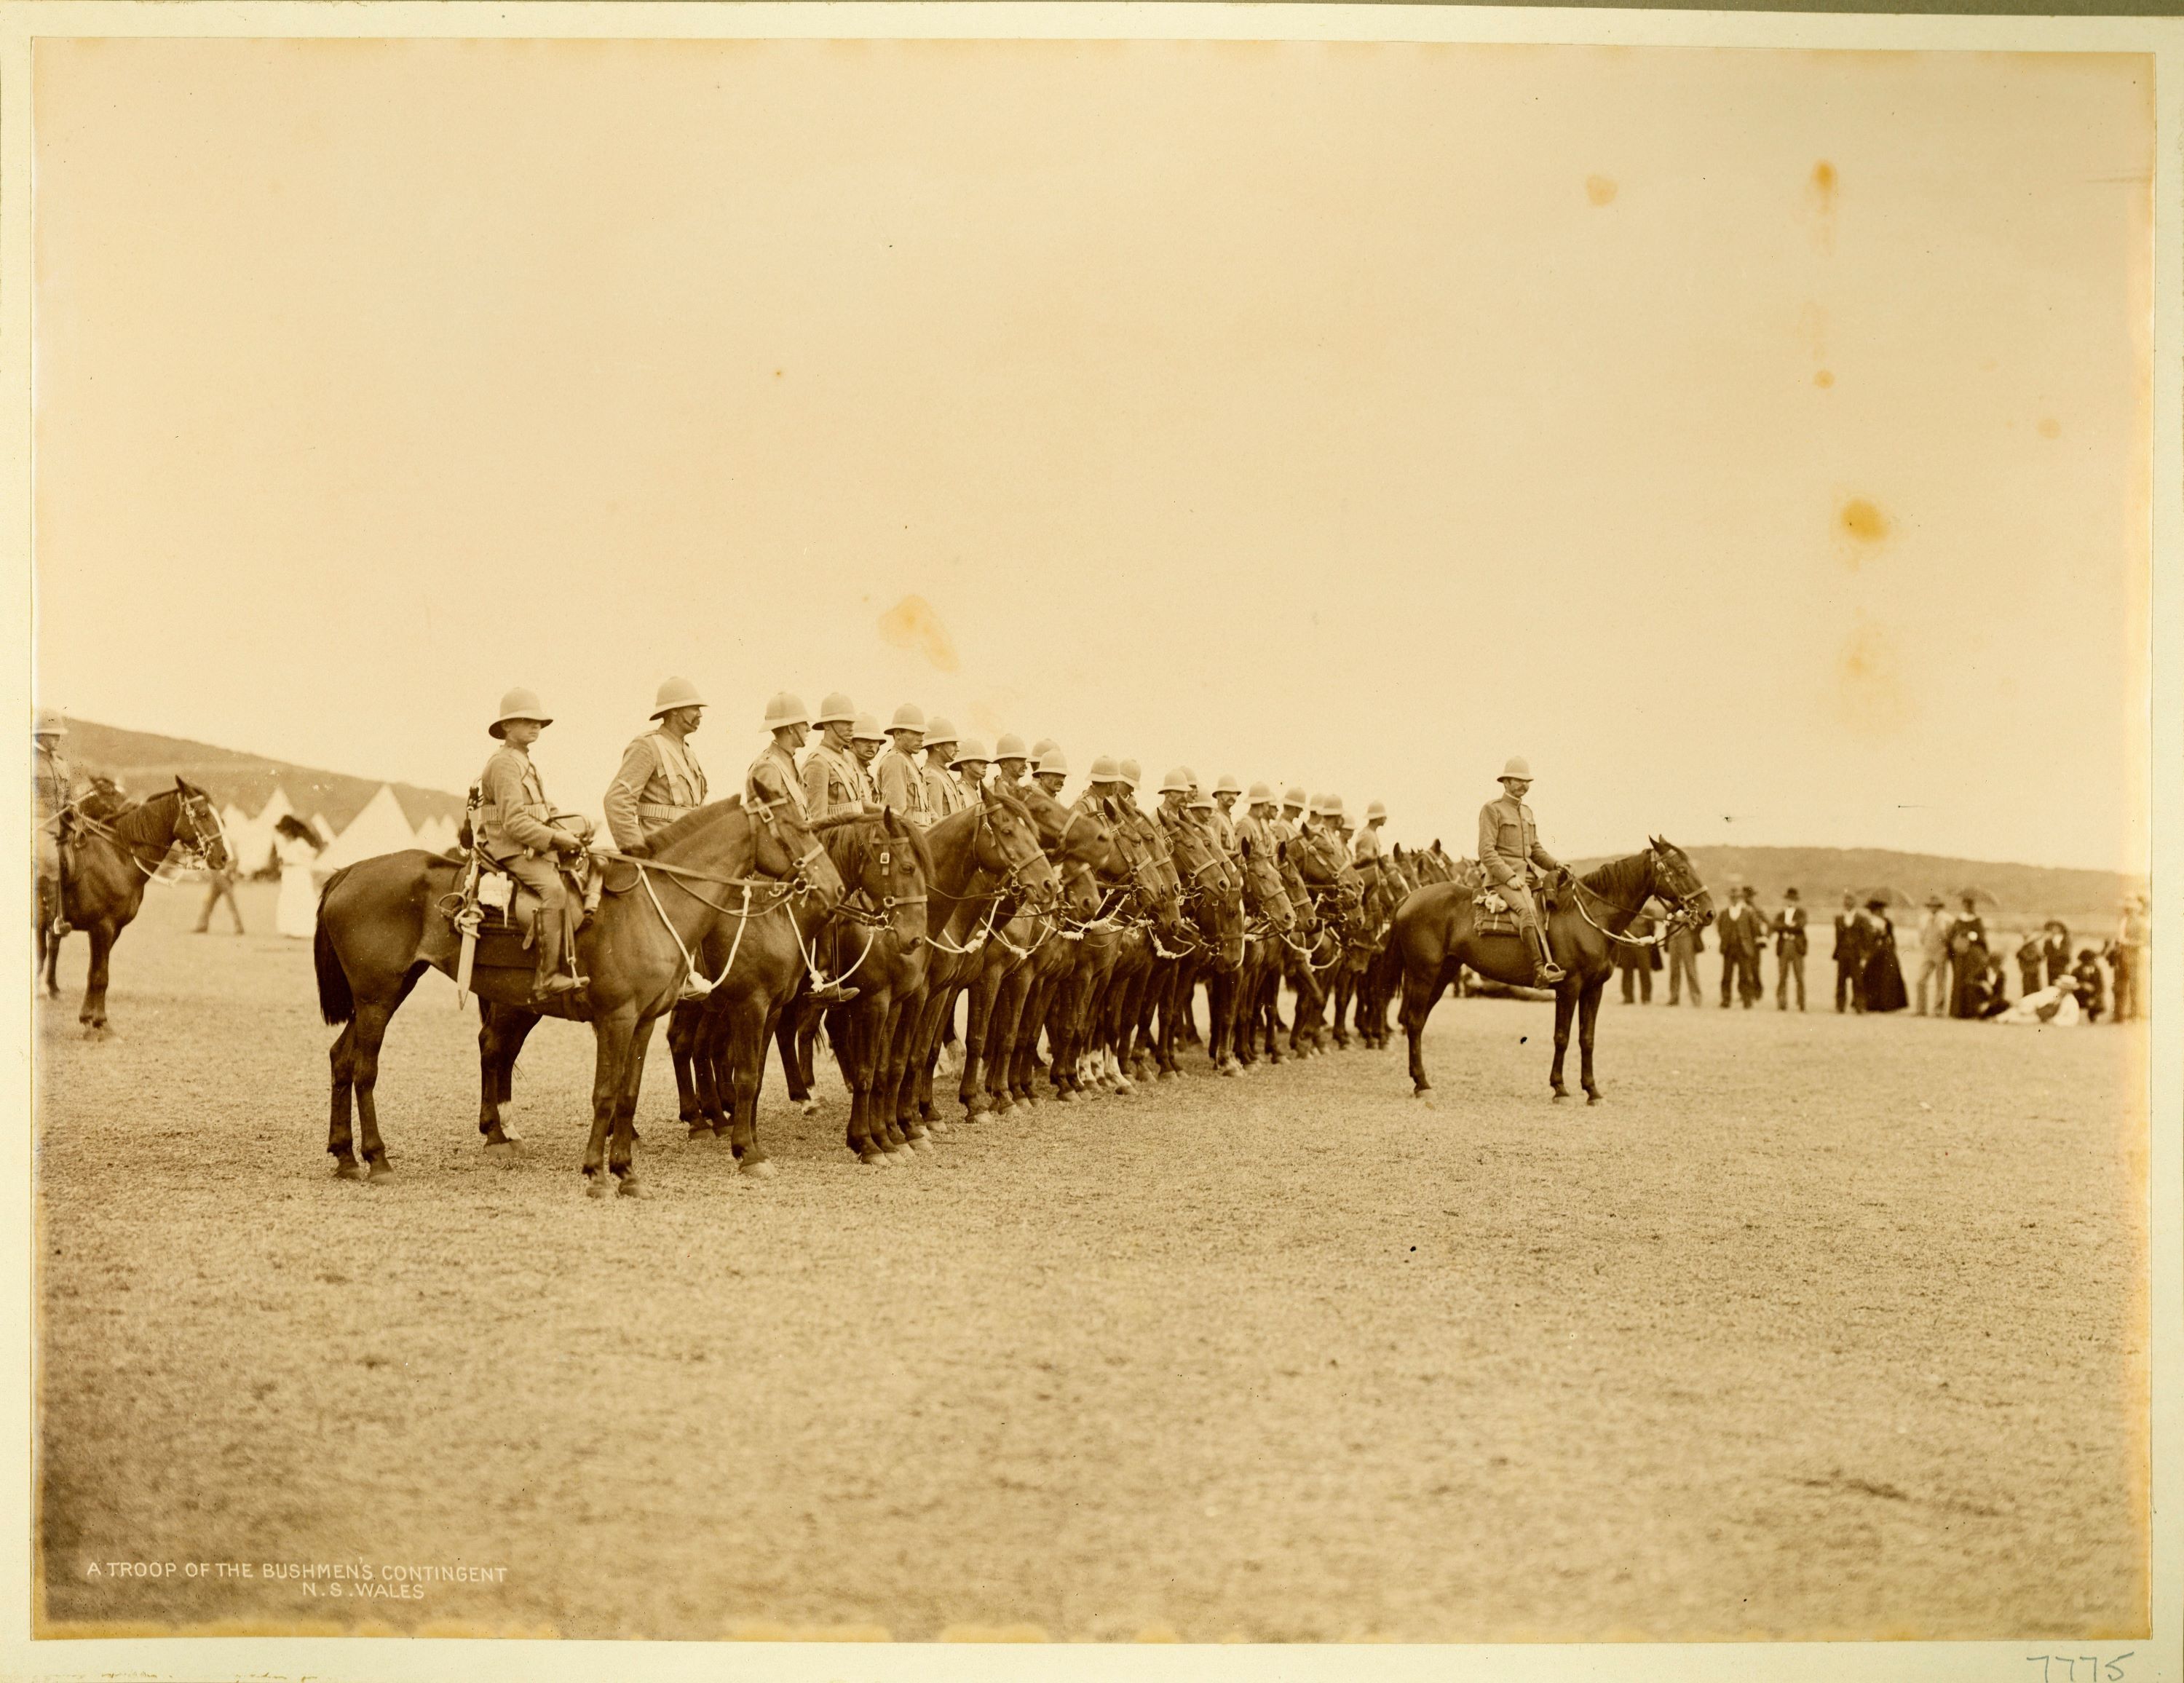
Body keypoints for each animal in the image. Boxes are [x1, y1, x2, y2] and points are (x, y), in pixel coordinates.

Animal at [41, 781, 228, 1039]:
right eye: (202, 814)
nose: (223, 857)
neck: (117, 856)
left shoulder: (111, 930)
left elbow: (94, 973)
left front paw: (89, 1020)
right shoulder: (103, 927)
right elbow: (100, 976)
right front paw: (100, 1023)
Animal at [312, 794, 839, 1187]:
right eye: (797, 826)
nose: (832, 889)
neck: (652, 904)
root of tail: (347, 872)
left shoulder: (646, 1020)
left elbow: (629, 1092)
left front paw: (626, 1168)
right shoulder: (630, 1017)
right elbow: (611, 1091)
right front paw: (601, 1170)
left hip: (390, 992)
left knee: (343, 1058)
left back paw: (346, 1156)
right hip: (379, 997)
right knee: (367, 1069)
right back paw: (378, 1159)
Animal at [1389, 838, 1712, 1104]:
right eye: (1681, 869)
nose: (1709, 912)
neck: (1592, 917)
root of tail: (1410, 897)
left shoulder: (1594, 988)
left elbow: (1587, 1039)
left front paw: (1592, 1091)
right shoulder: (1569, 988)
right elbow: (1562, 1037)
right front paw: (1560, 1088)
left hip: (1443, 973)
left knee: (1417, 1021)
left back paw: (1418, 1080)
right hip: (1423, 974)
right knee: (1414, 1022)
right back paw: (1423, 1085)